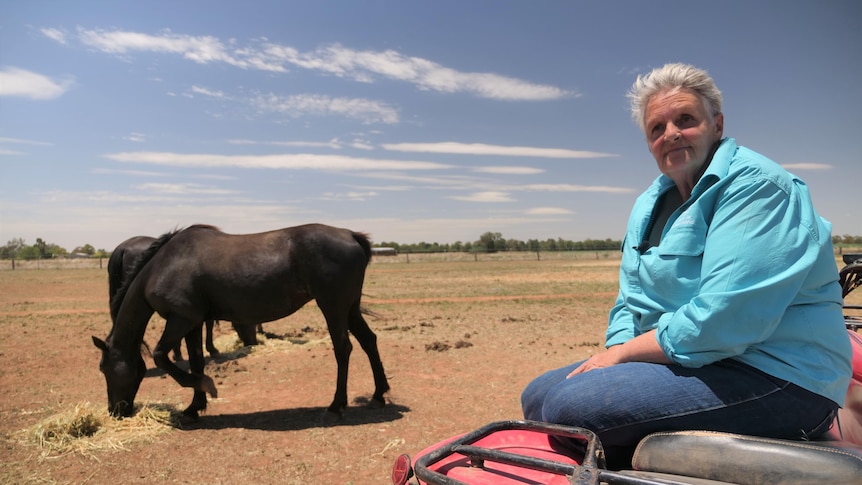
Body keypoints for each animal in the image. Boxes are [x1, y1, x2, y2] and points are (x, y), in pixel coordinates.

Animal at [92, 221, 388, 418]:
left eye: (104, 369)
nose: (114, 411)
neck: (163, 266)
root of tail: (350, 235)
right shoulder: (192, 323)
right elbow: (196, 361)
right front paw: (194, 407)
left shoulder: (180, 320)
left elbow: (161, 356)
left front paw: (207, 388)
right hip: (349, 308)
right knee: (369, 341)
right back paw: (378, 395)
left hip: (333, 307)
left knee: (343, 348)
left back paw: (337, 404)